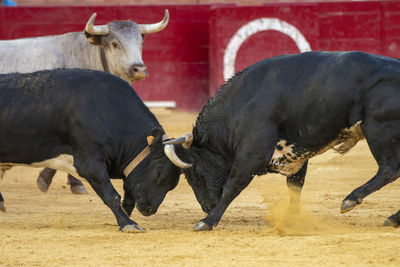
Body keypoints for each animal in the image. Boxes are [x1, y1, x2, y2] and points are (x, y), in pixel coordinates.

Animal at [0, 69, 180, 232]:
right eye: (159, 173)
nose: (149, 210)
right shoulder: (90, 164)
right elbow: (111, 195)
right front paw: (127, 223)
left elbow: (127, 196)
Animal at [165, 51, 400, 230]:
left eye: (194, 174)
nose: (207, 206)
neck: (241, 105)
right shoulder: (297, 155)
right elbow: (295, 187)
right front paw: (293, 220)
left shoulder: (252, 153)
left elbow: (233, 185)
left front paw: (207, 221)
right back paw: (392, 219)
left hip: (379, 129)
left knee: (388, 170)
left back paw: (351, 200)